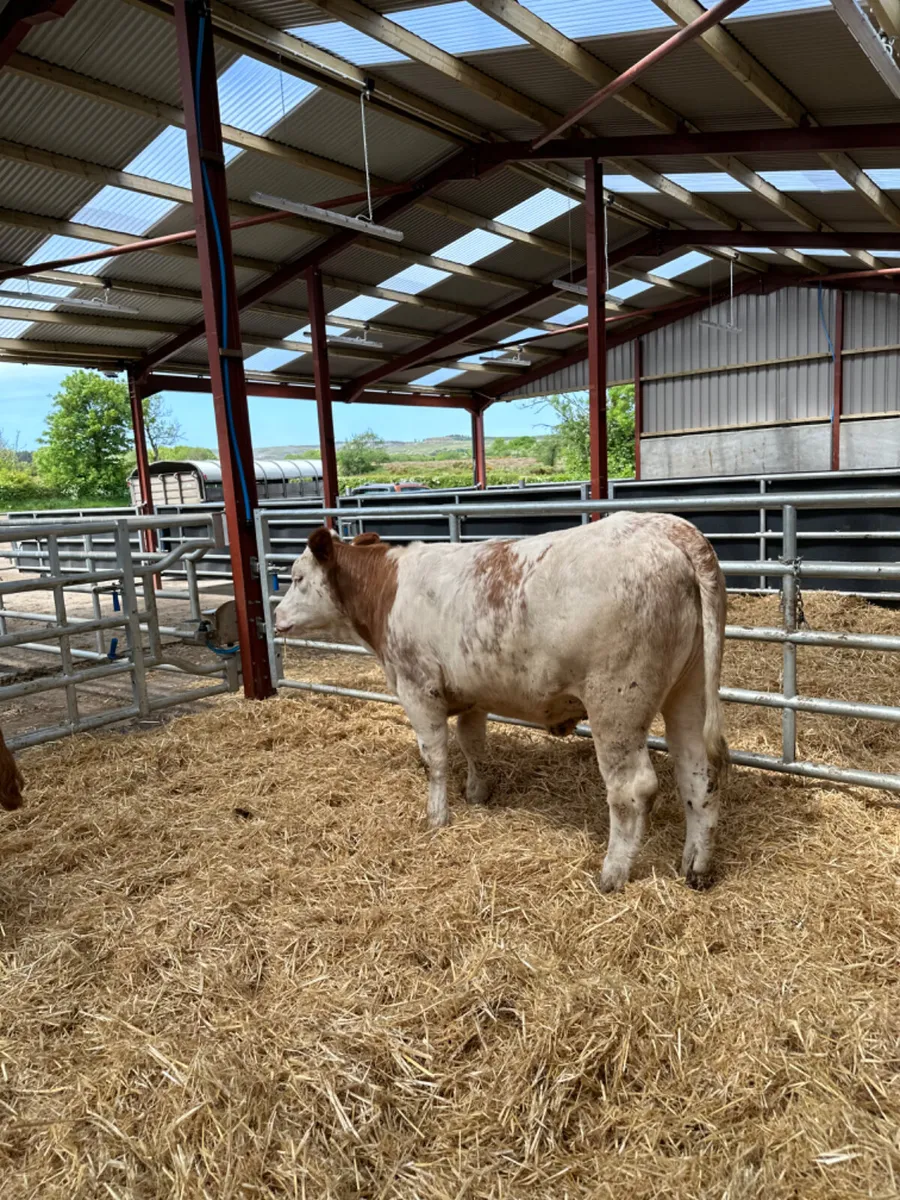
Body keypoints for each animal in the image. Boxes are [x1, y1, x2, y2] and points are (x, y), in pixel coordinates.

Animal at [274, 513, 728, 892]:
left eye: (296, 577)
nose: (275, 617)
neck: (389, 589)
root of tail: (667, 527)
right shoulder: (472, 694)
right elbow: (473, 744)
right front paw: (478, 792)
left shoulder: (417, 688)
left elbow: (435, 759)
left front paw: (437, 816)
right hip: (688, 694)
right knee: (698, 777)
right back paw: (696, 868)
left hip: (616, 705)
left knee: (632, 789)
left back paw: (612, 873)